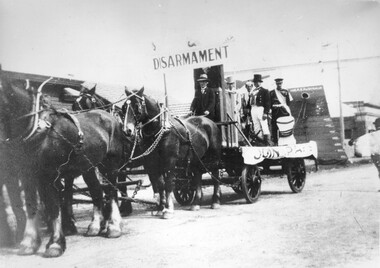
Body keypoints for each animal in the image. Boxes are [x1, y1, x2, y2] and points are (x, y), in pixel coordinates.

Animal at [0, 71, 131, 258]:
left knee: (112, 191)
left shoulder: (50, 175)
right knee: (97, 192)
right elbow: (31, 205)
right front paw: (29, 243)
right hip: (88, 168)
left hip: (110, 165)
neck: (37, 128)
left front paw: (55, 244)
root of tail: (110, 117)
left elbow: (54, 206)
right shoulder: (27, 175)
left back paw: (113, 227)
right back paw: (94, 227)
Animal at [124, 87, 223, 219]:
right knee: (197, 175)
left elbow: (168, 184)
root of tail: (210, 122)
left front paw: (168, 209)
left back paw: (215, 202)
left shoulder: (169, 161)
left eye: (136, 106)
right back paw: (196, 204)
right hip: (197, 159)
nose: (127, 130)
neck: (161, 129)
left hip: (214, 156)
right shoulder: (153, 163)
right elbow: (160, 185)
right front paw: (160, 208)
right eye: (124, 107)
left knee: (215, 174)